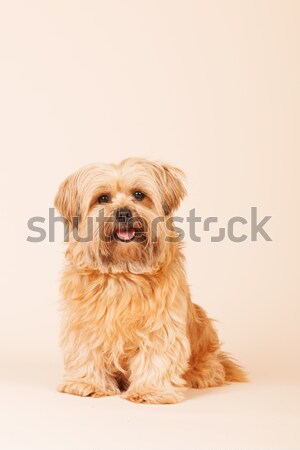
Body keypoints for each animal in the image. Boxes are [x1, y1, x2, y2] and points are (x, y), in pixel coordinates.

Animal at [54, 158, 246, 404]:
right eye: (103, 198)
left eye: (139, 194)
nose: (123, 213)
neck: (123, 272)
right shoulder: (84, 323)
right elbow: (86, 351)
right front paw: (87, 383)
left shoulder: (162, 324)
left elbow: (157, 356)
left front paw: (151, 391)